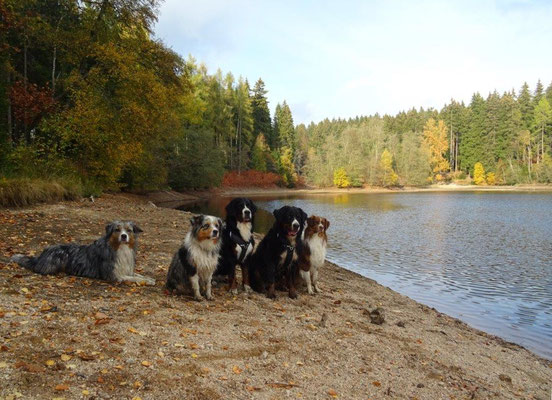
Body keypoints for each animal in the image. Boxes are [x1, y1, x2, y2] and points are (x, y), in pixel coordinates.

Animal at [11, 222, 153, 284]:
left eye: (129, 230)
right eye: (117, 230)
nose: (124, 236)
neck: (119, 248)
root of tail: (41, 255)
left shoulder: (126, 269)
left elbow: (137, 274)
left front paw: (149, 278)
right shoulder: (113, 275)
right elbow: (133, 278)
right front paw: (147, 281)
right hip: (60, 256)